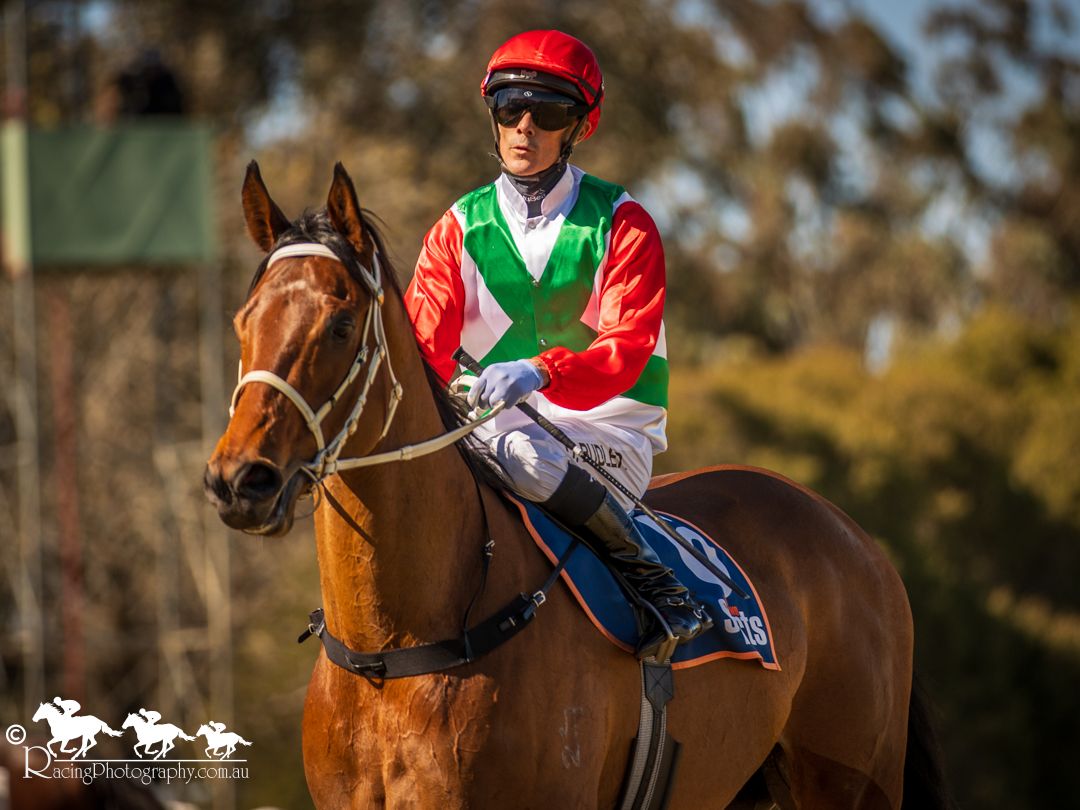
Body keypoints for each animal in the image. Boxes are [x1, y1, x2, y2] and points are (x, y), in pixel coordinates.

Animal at [203, 161, 950, 809]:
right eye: (242, 321)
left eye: (339, 324)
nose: (239, 479)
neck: (396, 653)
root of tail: (854, 536)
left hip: (851, 781)